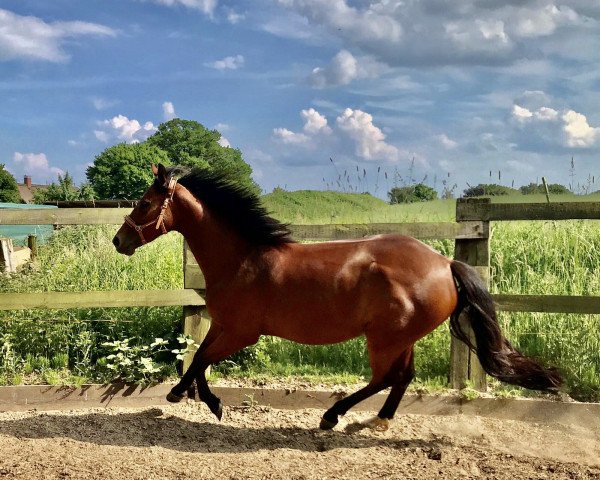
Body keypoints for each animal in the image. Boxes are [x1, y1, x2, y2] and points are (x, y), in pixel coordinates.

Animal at [112, 164, 564, 432]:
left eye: (145, 203)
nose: (119, 241)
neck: (242, 260)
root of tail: (444, 262)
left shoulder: (242, 333)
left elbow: (203, 358)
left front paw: (204, 402)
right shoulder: (223, 325)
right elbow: (199, 359)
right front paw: (190, 396)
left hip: (384, 338)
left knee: (385, 377)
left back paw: (333, 416)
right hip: (401, 338)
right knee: (403, 377)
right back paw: (379, 420)